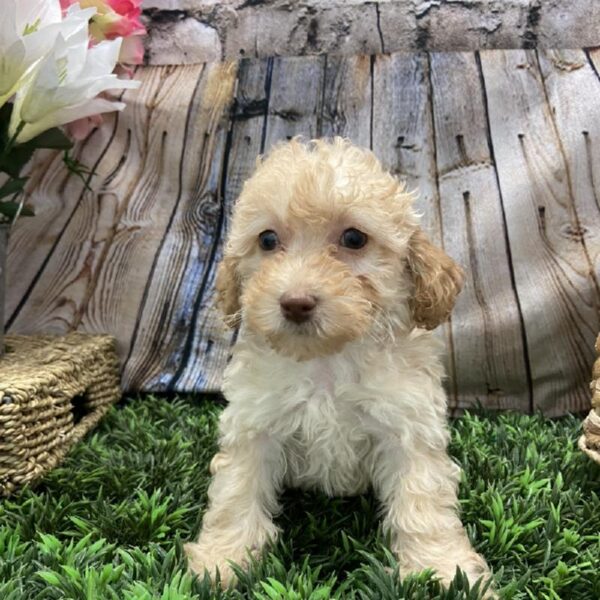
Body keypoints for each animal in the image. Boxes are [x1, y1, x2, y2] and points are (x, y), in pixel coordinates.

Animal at [184, 137, 492, 592]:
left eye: (353, 237)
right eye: (268, 240)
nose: (295, 303)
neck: (325, 359)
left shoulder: (409, 428)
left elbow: (422, 502)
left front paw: (441, 570)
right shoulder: (254, 424)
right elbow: (236, 492)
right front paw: (221, 562)